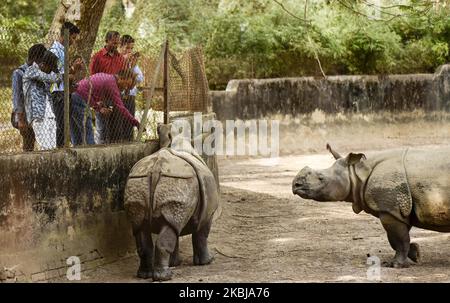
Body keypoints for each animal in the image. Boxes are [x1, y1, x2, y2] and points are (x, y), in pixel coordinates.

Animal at [124, 124, 219, 282]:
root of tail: (156, 168)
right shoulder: (209, 213)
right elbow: (202, 235)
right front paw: (207, 262)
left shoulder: (177, 211)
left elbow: (175, 234)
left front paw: (175, 263)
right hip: (178, 181)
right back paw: (165, 277)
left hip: (142, 181)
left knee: (141, 226)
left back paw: (145, 275)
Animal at [292, 145, 450, 268]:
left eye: (321, 178)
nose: (295, 186)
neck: (357, 173)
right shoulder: (398, 209)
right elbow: (400, 238)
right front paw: (416, 254)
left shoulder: (388, 209)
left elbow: (398, 239)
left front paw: (395, 265)